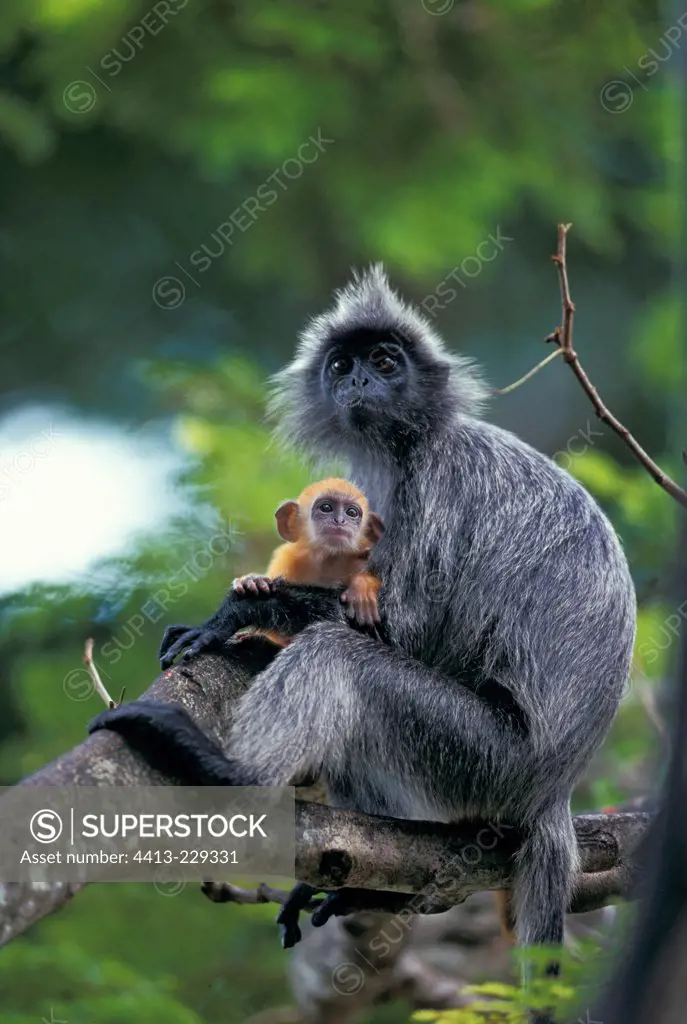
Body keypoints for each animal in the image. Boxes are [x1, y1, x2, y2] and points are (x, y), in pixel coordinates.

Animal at [232, 477, 384, 638]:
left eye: (351, 512)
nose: (340, 520)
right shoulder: (286, 560)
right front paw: (252, 581)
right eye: (326, 508)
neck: (329, 562)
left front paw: (363, 588)